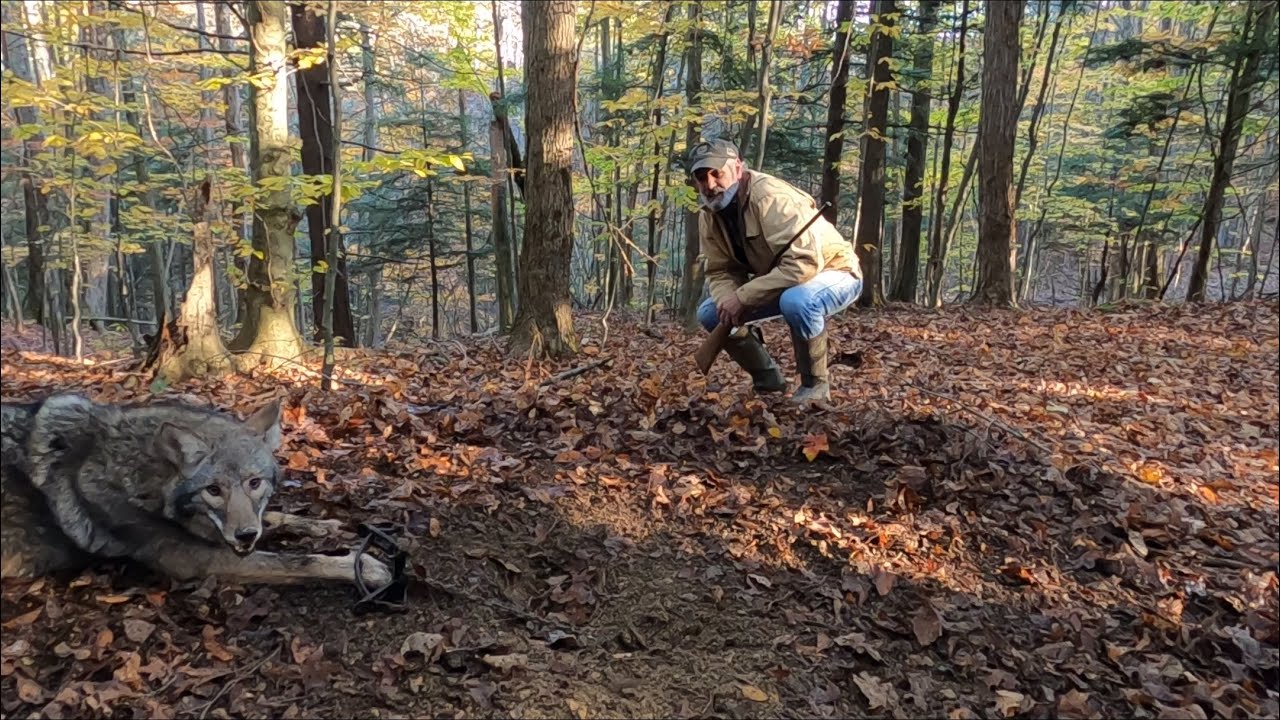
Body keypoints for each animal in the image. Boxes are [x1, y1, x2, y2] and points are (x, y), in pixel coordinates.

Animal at [0, 392, 392, 589]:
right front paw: (365, 567)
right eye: (213, 490)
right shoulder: (203, 561)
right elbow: (300, 561)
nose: (245, 536)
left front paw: (325, 526)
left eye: (254, 483)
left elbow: (278, 517)